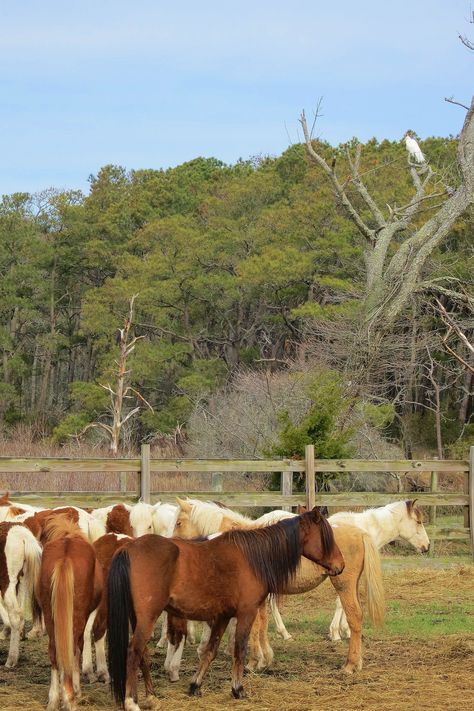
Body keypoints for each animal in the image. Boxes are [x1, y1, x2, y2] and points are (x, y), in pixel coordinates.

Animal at [37, 516, 103, 711]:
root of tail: (65, 557)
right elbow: (78, 649)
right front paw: (76, 688)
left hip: (50, 615)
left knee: (54, 651)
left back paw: (54, 699)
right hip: (78, 617)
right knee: (73, 647)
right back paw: (70, 697)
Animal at [107, 508, 344, 708]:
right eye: (327, 537)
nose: (340, 566)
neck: (253, 557)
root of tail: (128, 549)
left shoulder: (222, 616)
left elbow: (210, 651)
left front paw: (195, 685)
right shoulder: (246, 613)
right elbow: (239, 650)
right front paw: (237, 689)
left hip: (138, 618)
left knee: (143, 654)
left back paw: (151, 696)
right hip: (147, 618)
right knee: (134, 651)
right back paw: (131, 701)